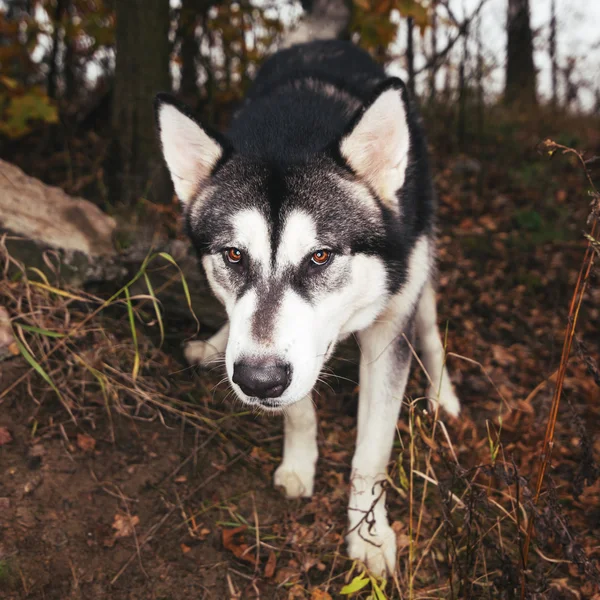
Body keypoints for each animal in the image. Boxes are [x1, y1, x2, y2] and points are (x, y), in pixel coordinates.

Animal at [155, 39, 460, 576]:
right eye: (234, 255)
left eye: (320, 256)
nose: (255, 382)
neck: (292, 135)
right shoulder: (277, 355)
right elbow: (298, 411)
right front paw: (298, 464)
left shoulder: (386, 334)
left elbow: (370, 455)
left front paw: (369, 535)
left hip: (419, 261)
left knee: (428, 322)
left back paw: (444, 394)